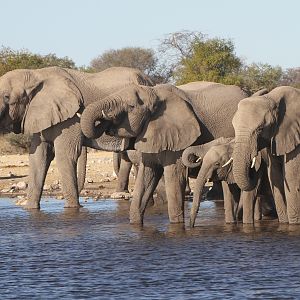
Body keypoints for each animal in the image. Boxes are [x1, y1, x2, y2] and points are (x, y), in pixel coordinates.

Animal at [0, 67, 154, 210]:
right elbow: (38, 157)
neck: (35, 74)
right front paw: (30, 209)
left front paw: (73, 209)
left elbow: (65, 155)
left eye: (7, 97)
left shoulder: (69, 119)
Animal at [79, 81, 248, 224]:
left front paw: (177, 225)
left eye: (131, 106)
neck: (153, 93)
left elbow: (174, 175)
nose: (106, 121)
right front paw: (135, 224)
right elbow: (147, 175)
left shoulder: (178, 137)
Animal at [232, 85, 300, 224]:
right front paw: (284, 222)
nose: (253, 167)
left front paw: (294, 224)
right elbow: (275, 176)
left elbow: (291, 177)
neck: (272, 98)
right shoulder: (275, 139)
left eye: (260, 129)